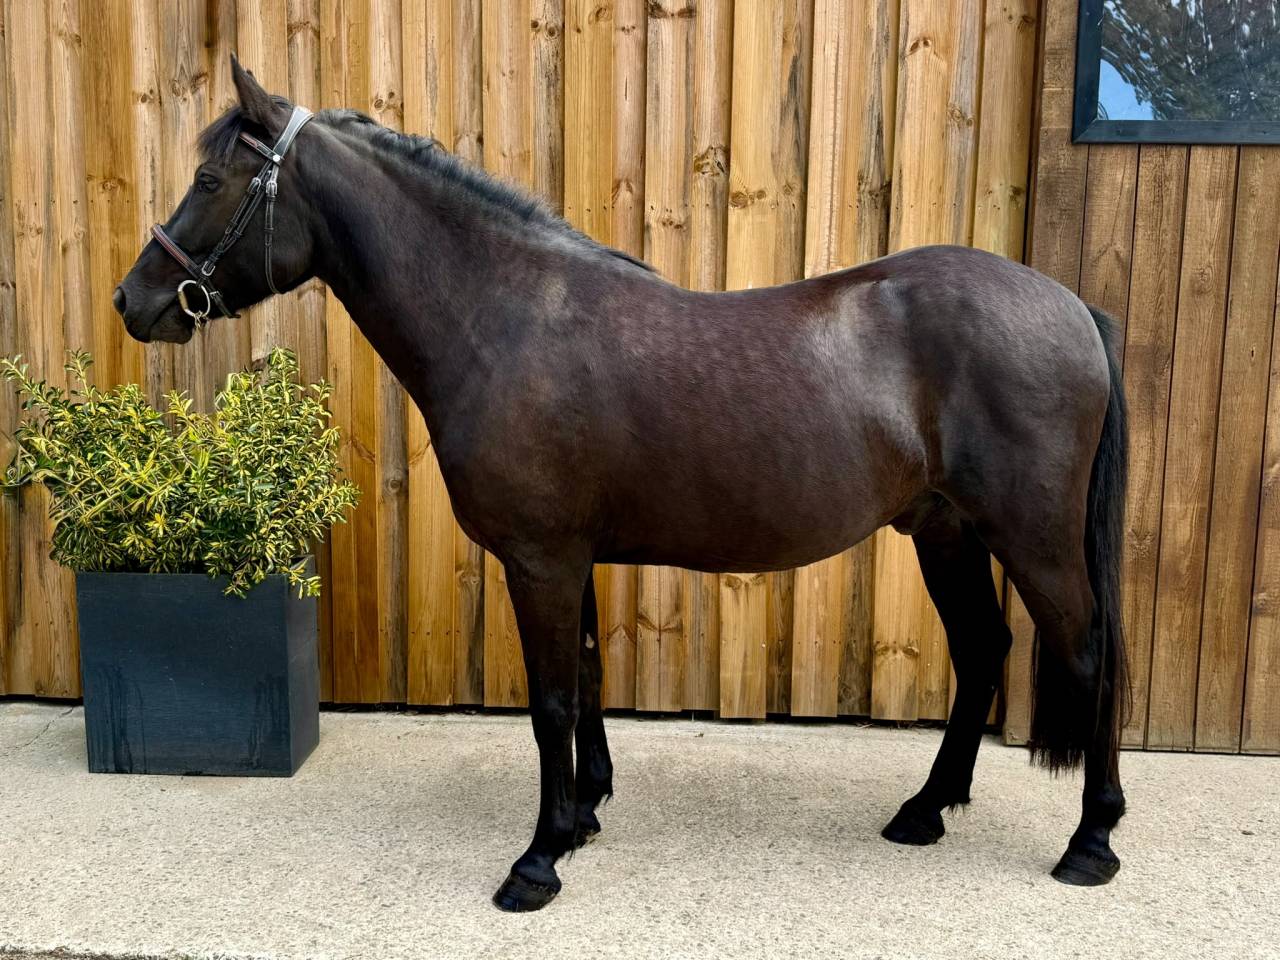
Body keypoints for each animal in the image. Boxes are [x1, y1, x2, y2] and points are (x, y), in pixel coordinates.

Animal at [114, 58, 1130, 912]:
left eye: (210, 183)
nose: (134, 301)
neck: (504, 317)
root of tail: (1074, 306)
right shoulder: (573, 558)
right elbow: (593, 675)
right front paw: (585, 816)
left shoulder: (540, 560)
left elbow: (552, 701)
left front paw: (538, 859)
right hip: (946, 530)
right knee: (984, 649)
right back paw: (926, 810)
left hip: (1032, 537)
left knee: (1088, 653)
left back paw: (1091, 843)